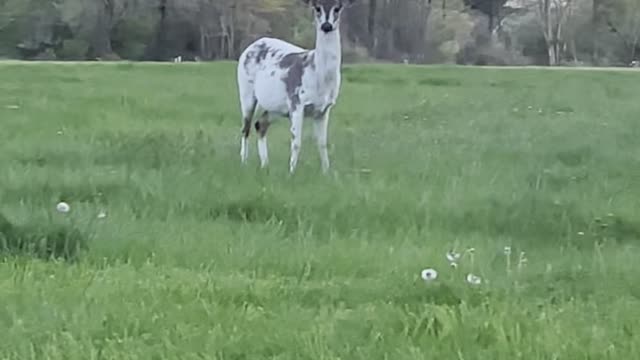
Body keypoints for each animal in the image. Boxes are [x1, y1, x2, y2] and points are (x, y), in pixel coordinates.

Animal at [236, 0, 356, 174]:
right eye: (317, 7)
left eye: (337, 8)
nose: (326, 26)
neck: (319, 77)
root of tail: (250, 47)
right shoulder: (297, 101)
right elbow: (296, 141)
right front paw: (291, 172)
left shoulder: (324, 108)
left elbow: (322, 143)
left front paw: (326, 172)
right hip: (246, 91)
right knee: (246, 127)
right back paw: (244, 162)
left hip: (276, 107)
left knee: (260, 124)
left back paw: (265, 164)